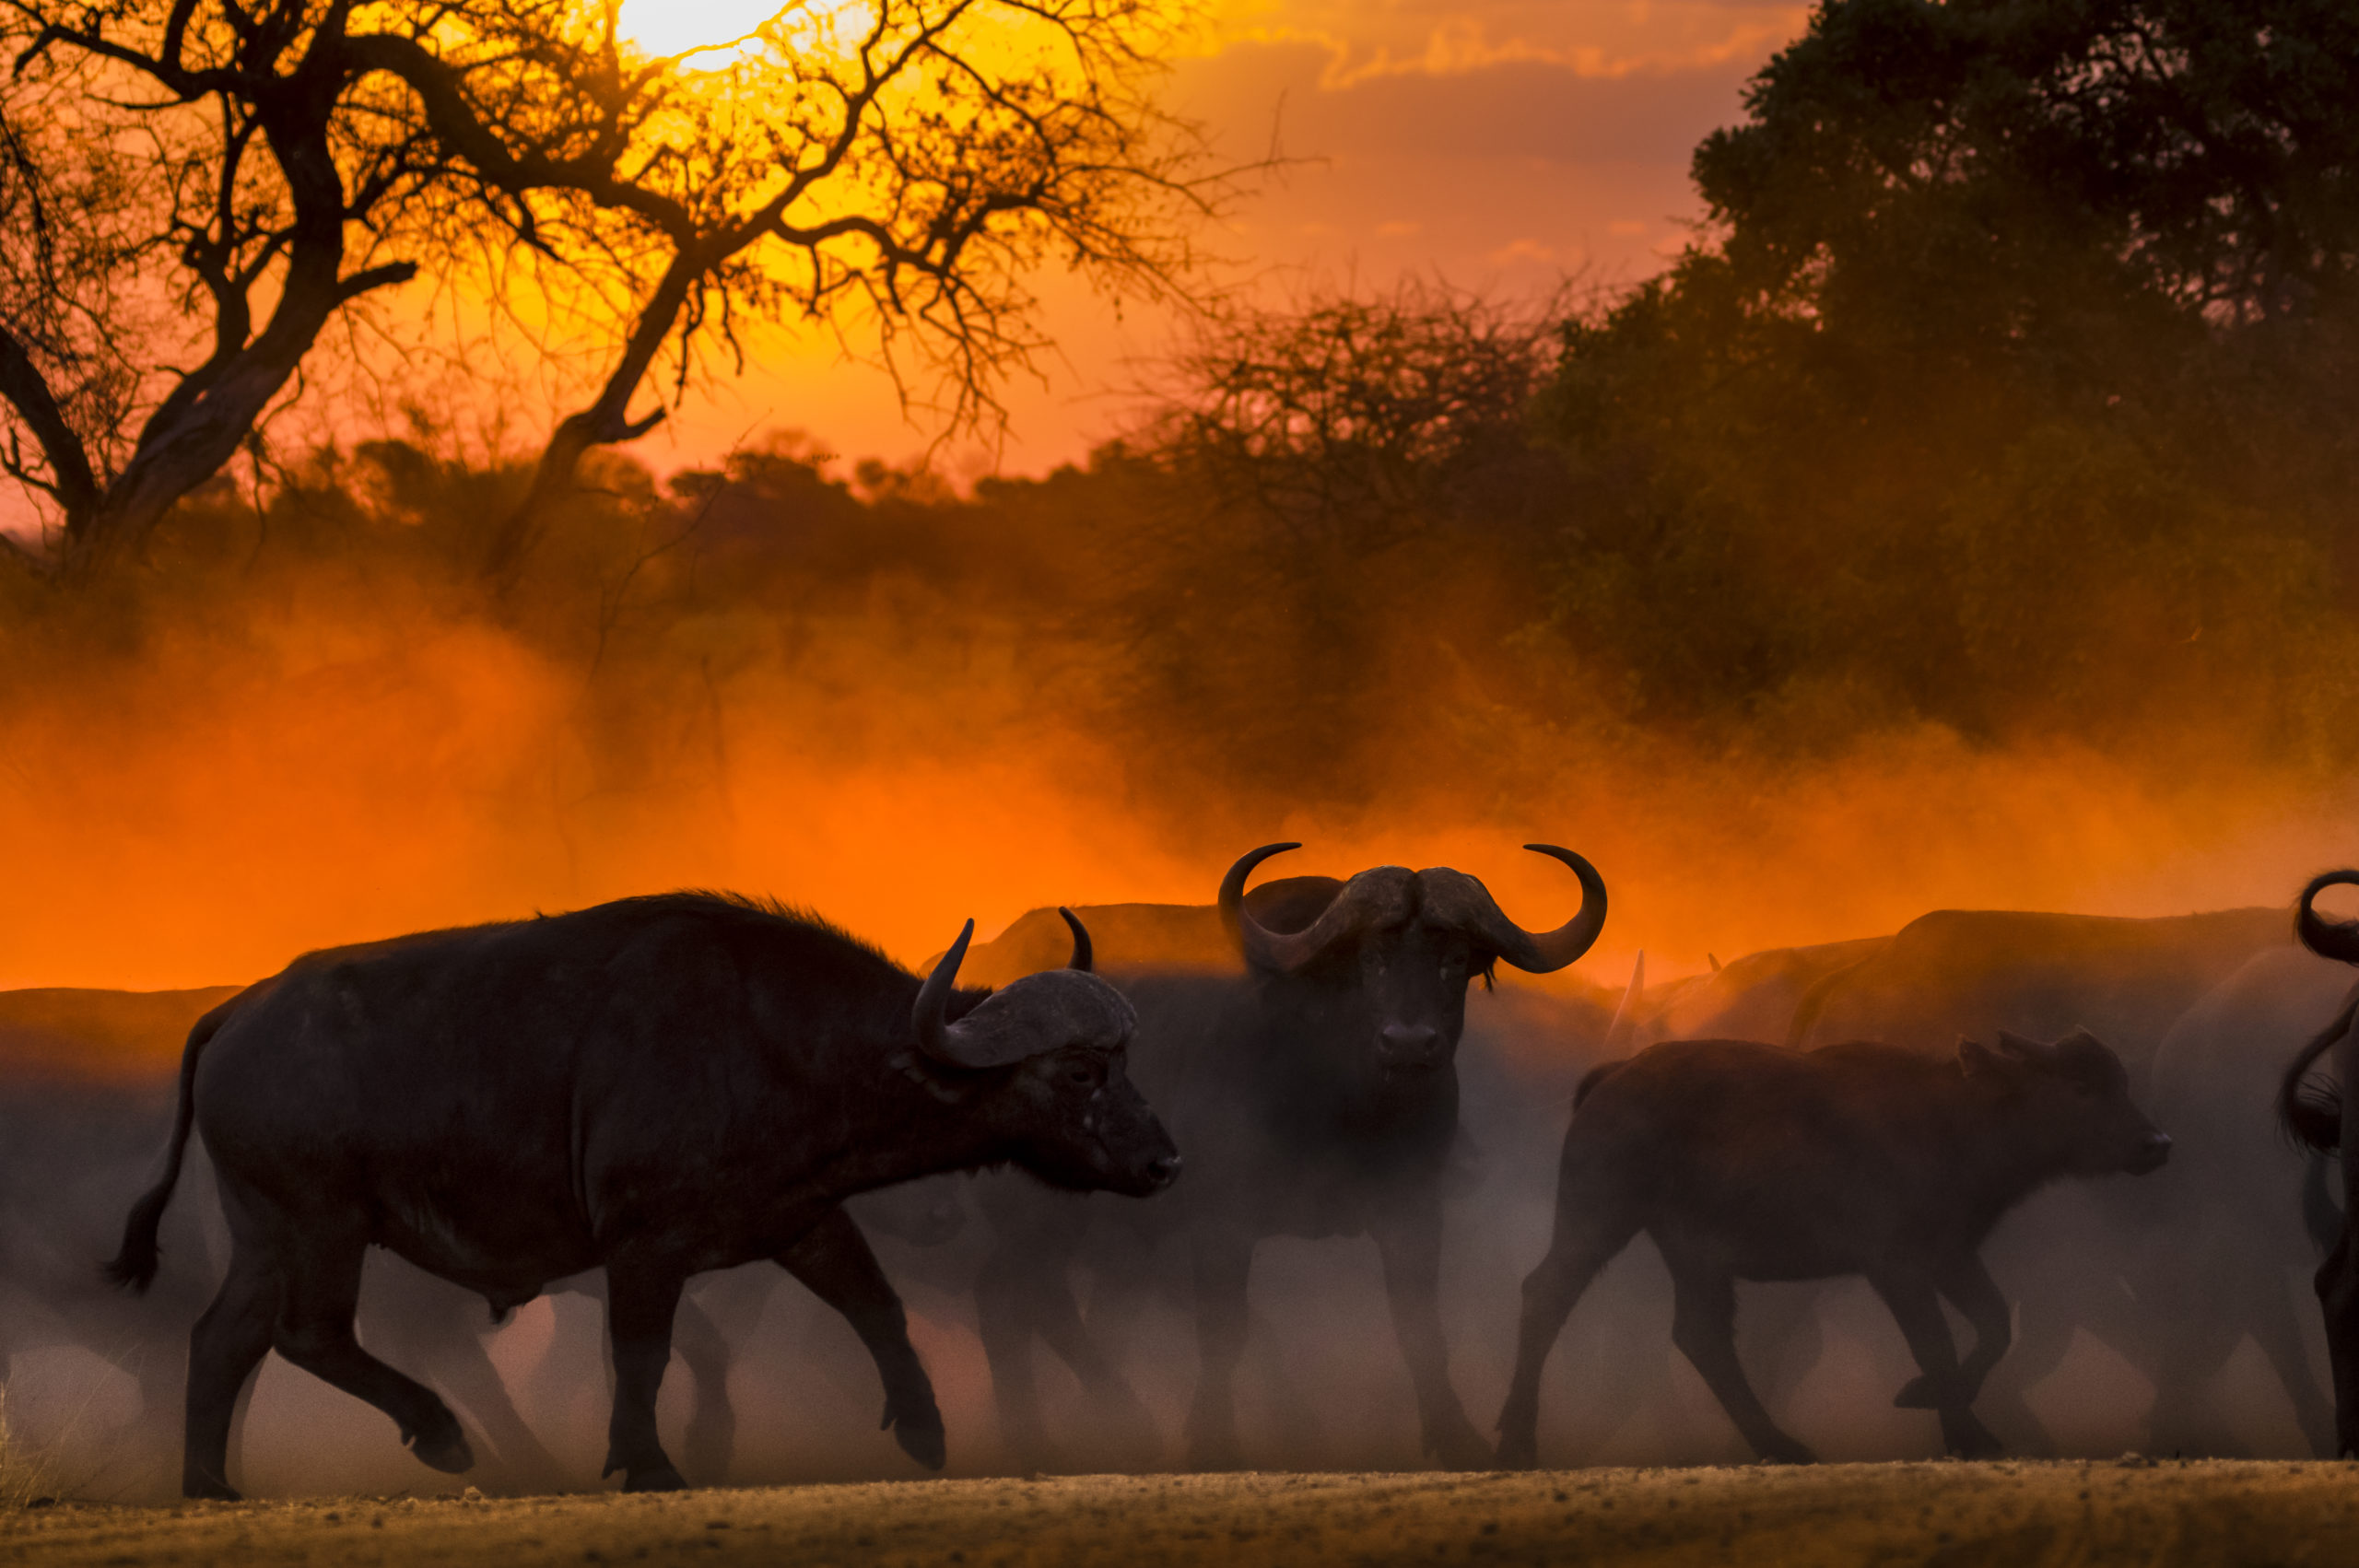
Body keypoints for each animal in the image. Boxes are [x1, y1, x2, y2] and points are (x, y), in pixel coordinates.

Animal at [111, 891, 1180, 1490]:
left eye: (1126, 1062)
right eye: (1080, 1071)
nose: (1165, 1163)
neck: (773, 1038)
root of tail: (238, 1012)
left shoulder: (801, 1218)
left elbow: (878, 1306)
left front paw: (923, 1432)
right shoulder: (642, 1245)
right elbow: (643, 1353)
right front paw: (649, 1463)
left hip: (266, 1234)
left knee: (224, 1339)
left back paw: (209, 1484)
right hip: (321, 1226)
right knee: (308, 1334)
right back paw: (439, 1434)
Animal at [1509, 1033, 2170, 1461]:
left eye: (2121, 1082)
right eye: (2080, 1086)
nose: (2156, 1143)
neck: (1953, 1115)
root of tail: (1614, 1077)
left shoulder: (1952, 1255)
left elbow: (1992, 1324)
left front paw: (1949, 1414)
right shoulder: (1896, 1265)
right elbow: (1936, 1342)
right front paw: (1958, 1429)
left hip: (1696, 1256)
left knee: (1702, 1335)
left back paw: (1784, 1445)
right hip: (1598, 1221)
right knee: (1547, 1295)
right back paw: (1516, 1444)